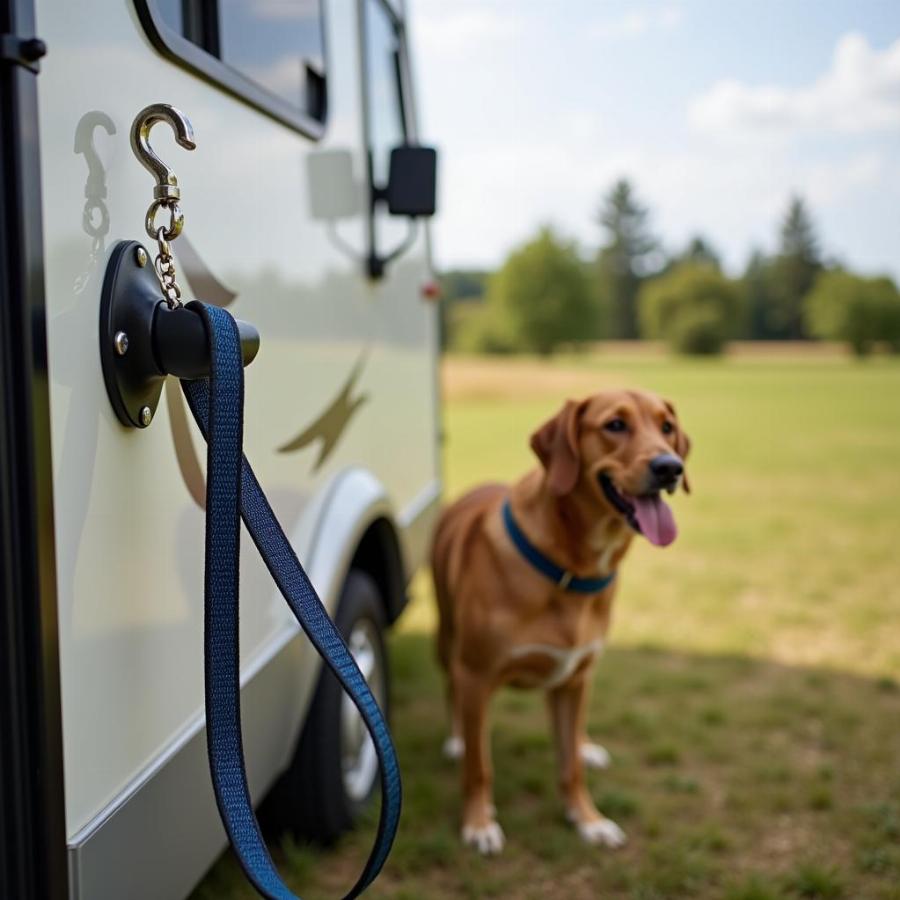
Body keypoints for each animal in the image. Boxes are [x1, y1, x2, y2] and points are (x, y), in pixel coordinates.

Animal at [428, 386, 688, 852]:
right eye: (615, 425)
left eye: (667, 427)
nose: (670, 467)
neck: (573, 569)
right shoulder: (476, 675)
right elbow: (479, 766)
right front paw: (478, 823)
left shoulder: (575, 676)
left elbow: (570, 768)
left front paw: (587, 819)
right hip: (446, 639)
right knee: (451, 690)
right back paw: (456, 738)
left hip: (576, 677)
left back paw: (585, 746)